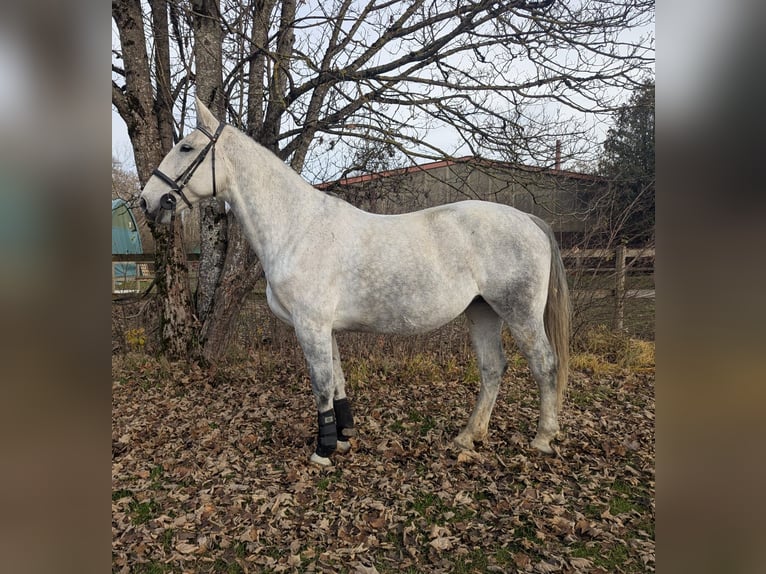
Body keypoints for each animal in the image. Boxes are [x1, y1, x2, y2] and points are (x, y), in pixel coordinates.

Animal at [140, 98, 570, 467]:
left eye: (186, 147)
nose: (147, 200)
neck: (298, 227)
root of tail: (528, 219)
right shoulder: (323, 327)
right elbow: (337, 381)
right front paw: (343, 437)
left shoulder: (310, 325)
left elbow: (321, 384)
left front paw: (323, 450)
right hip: (482, 311)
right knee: (492, 368)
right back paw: (468, 437)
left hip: (519, 313)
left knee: (545, 365)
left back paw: (542, 438)